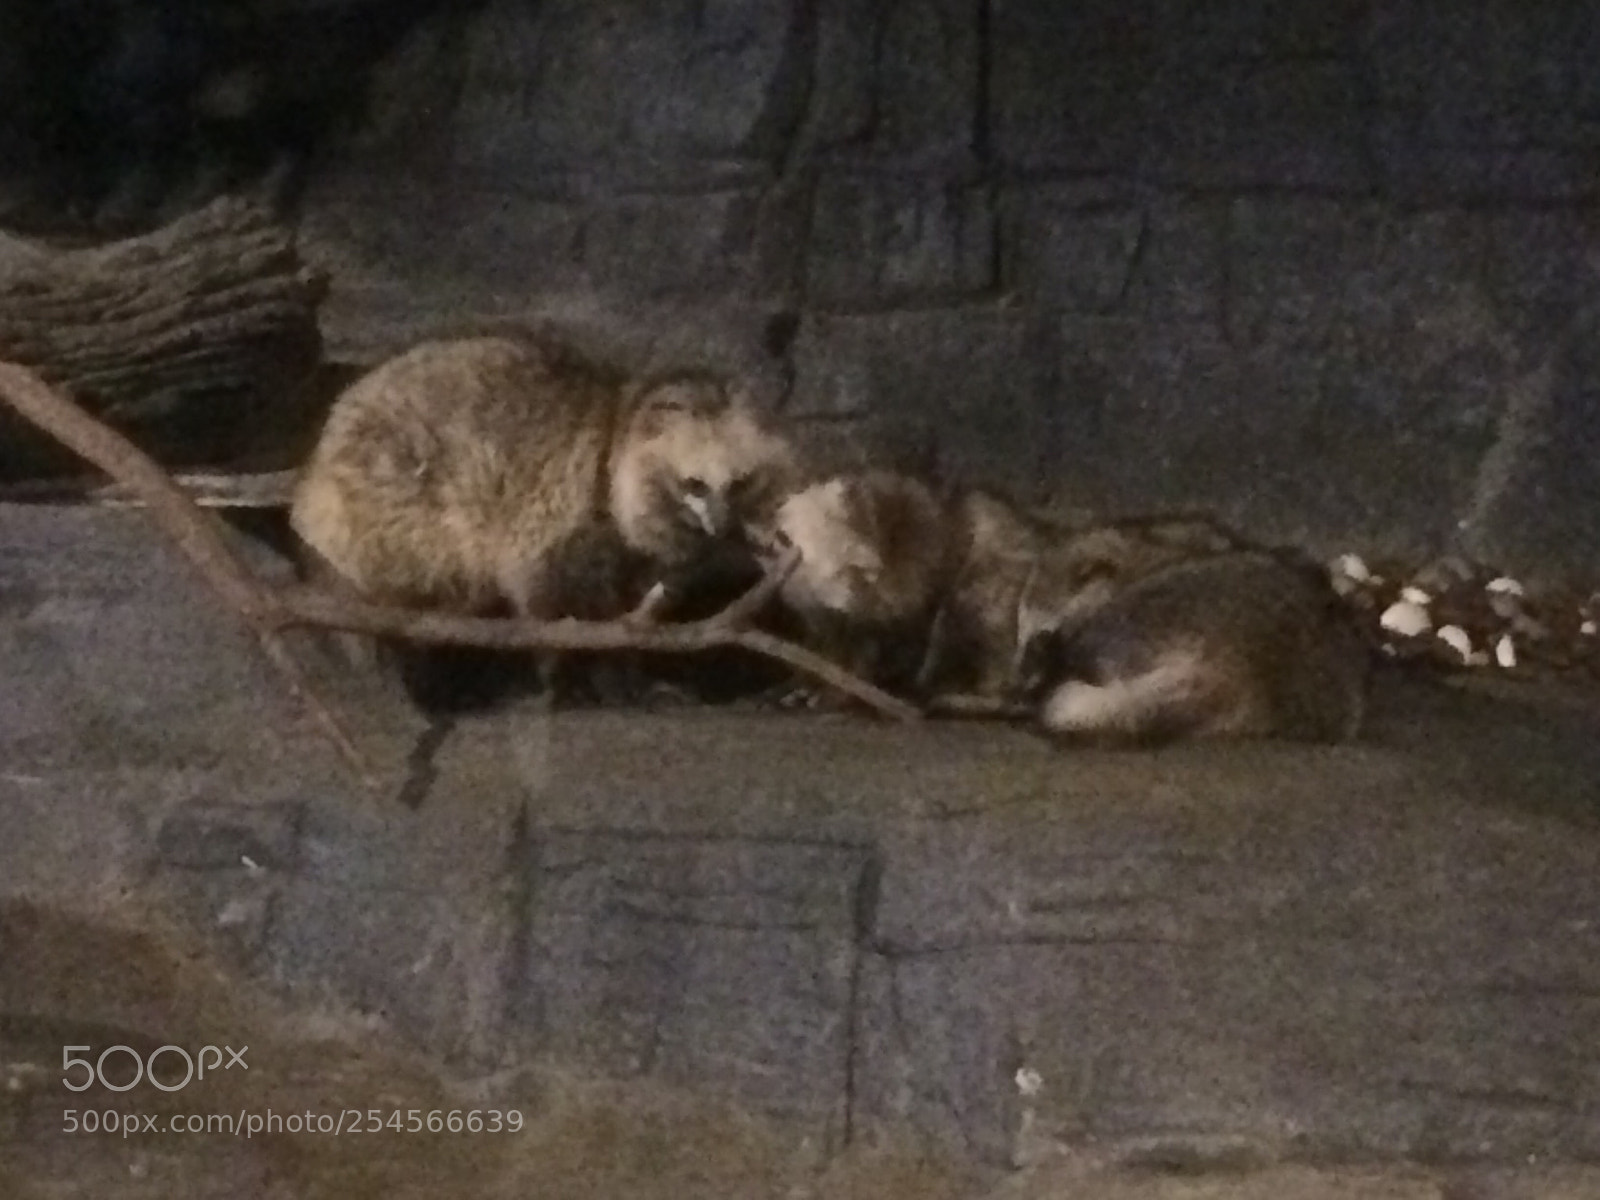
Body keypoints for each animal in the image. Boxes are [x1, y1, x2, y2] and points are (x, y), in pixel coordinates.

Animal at [289, 334, 801, 701]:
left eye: (740, 483)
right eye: (694, 484)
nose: (721, 527)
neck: (620, 426)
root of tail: (313, 480)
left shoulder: (642, 560)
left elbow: (632, 610)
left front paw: (631, 667)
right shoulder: (560, 514)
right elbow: (549, 601)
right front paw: (576, 674)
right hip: (394, 498)